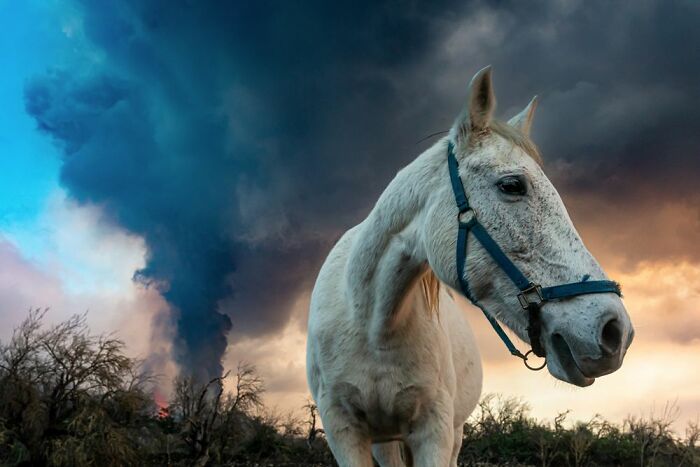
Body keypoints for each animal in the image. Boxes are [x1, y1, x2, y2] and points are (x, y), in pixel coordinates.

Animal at [306, 66, 636, 467]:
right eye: (512, 185)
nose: (615, 331)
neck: (372, 325)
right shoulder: (345, 433)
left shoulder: (435, 431)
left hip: (454, 433)